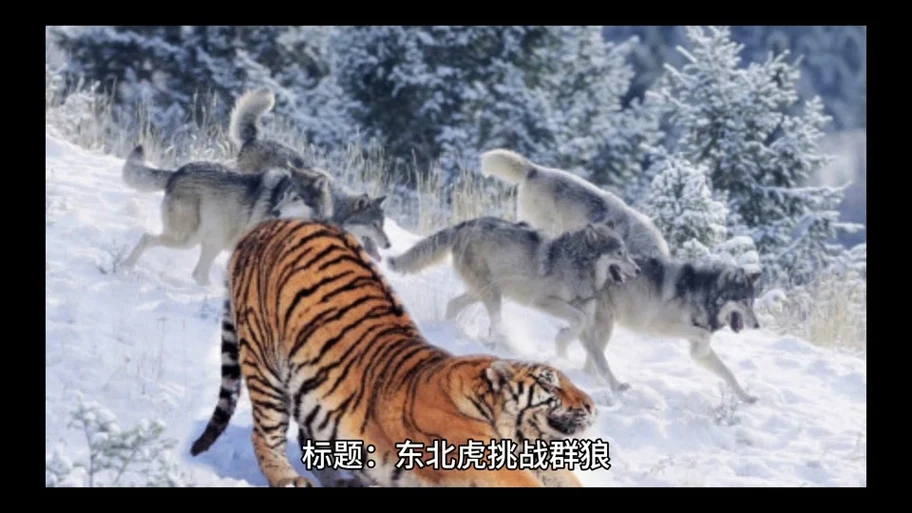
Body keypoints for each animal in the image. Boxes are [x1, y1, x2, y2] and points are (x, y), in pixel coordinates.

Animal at [189, 218, 597, 487]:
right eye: (552, 383)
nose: (592, 406)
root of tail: (264, 225)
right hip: (265, 367)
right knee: (266, 435)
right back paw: (291, 479)